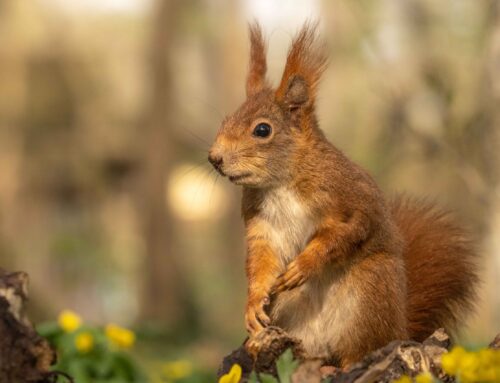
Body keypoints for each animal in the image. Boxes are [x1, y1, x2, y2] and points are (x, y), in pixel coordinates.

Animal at [208, 22, 480, 368]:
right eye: (226, 120)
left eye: (262, 130)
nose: (214, 158)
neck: (280, 183)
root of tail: (398, 329)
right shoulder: (260, 224)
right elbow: (261, 261)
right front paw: (253, 303)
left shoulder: (350, 198)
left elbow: (348, 232)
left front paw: (304, 266)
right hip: (293, 317)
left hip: (367, 297)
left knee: (359, 349)